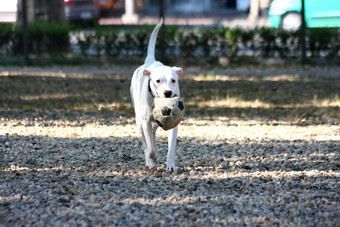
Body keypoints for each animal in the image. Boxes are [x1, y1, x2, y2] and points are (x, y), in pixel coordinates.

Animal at [130, 18, 183, 172]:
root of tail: (150, 62)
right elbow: (150, 147)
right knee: (145, 139)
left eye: (173, 80)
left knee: (154, 129)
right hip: (138, 121)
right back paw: (149, 161)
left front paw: (170, 165)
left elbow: (171, 147)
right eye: (158, 81)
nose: (168, 92)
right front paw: (152, 156)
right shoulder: (145, 121)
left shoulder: (174, 122)